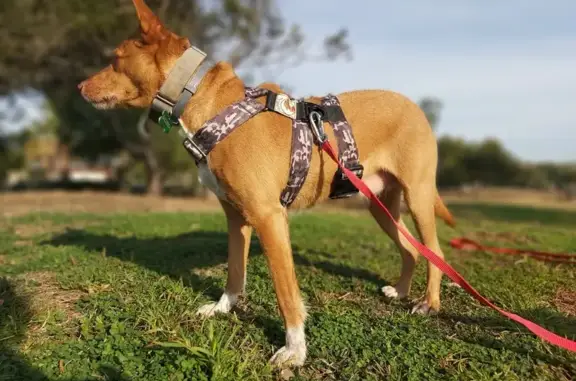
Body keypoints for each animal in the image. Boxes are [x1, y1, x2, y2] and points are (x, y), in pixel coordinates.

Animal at [80, 0, 454, 368]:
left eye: (115, 58)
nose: (79, 87)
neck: (211, 105)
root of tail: (416, 107)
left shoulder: (269, 218)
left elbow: (286, 293)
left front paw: (294, 350)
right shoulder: (236, 217)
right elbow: (235, 271)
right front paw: (222, 308)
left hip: (417, 197)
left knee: (435, 251)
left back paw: (428, 303)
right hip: (381, 205)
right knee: (412, 250)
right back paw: (401, 291)